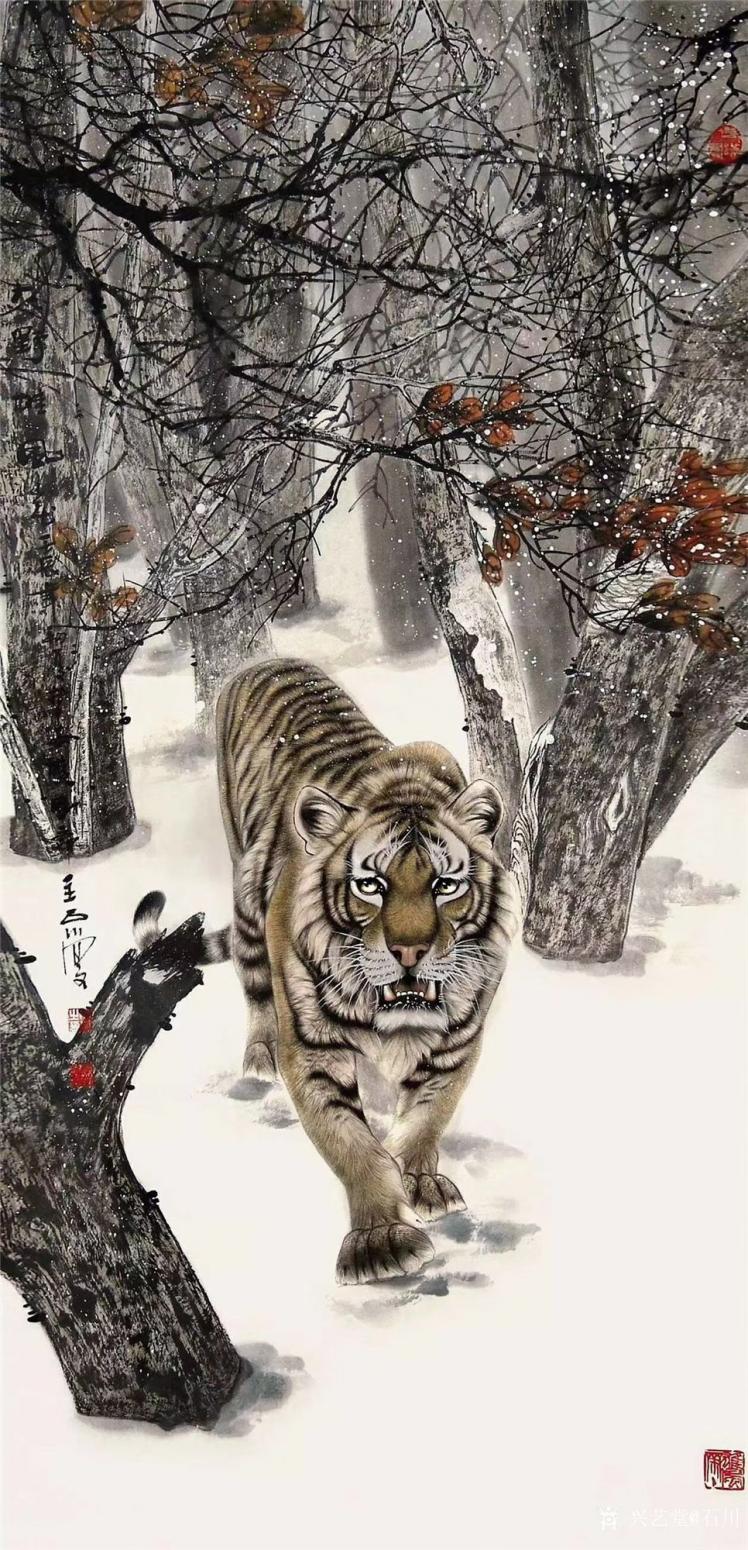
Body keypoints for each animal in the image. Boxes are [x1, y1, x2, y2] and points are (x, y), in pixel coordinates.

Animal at [138, 658, 519, 1285]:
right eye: (371, 885)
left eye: (445, 885)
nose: (410, 951)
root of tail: (264, 662)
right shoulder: (313, 1048)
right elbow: (350, 1144)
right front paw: (381, 1244)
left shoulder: (458, 1041)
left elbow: (428, 1115)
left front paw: (420, 1181)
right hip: (247, 898)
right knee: (255, 992)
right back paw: (259, 1059)